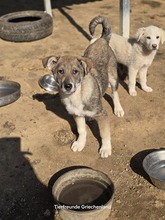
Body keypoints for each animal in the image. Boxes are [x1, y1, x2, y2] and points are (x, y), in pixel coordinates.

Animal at [42, 15, 124, 157]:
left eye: (75, 71)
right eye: (60, 71)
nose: (68, 86)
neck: (76, 96)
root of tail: (102, 40)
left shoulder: (102, 115)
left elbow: (104, 133)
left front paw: (106, 149)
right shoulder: (77, 114)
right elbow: (81, 130)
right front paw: (80, 143)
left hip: (113, 77)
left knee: (115, 93)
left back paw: (118, 109)